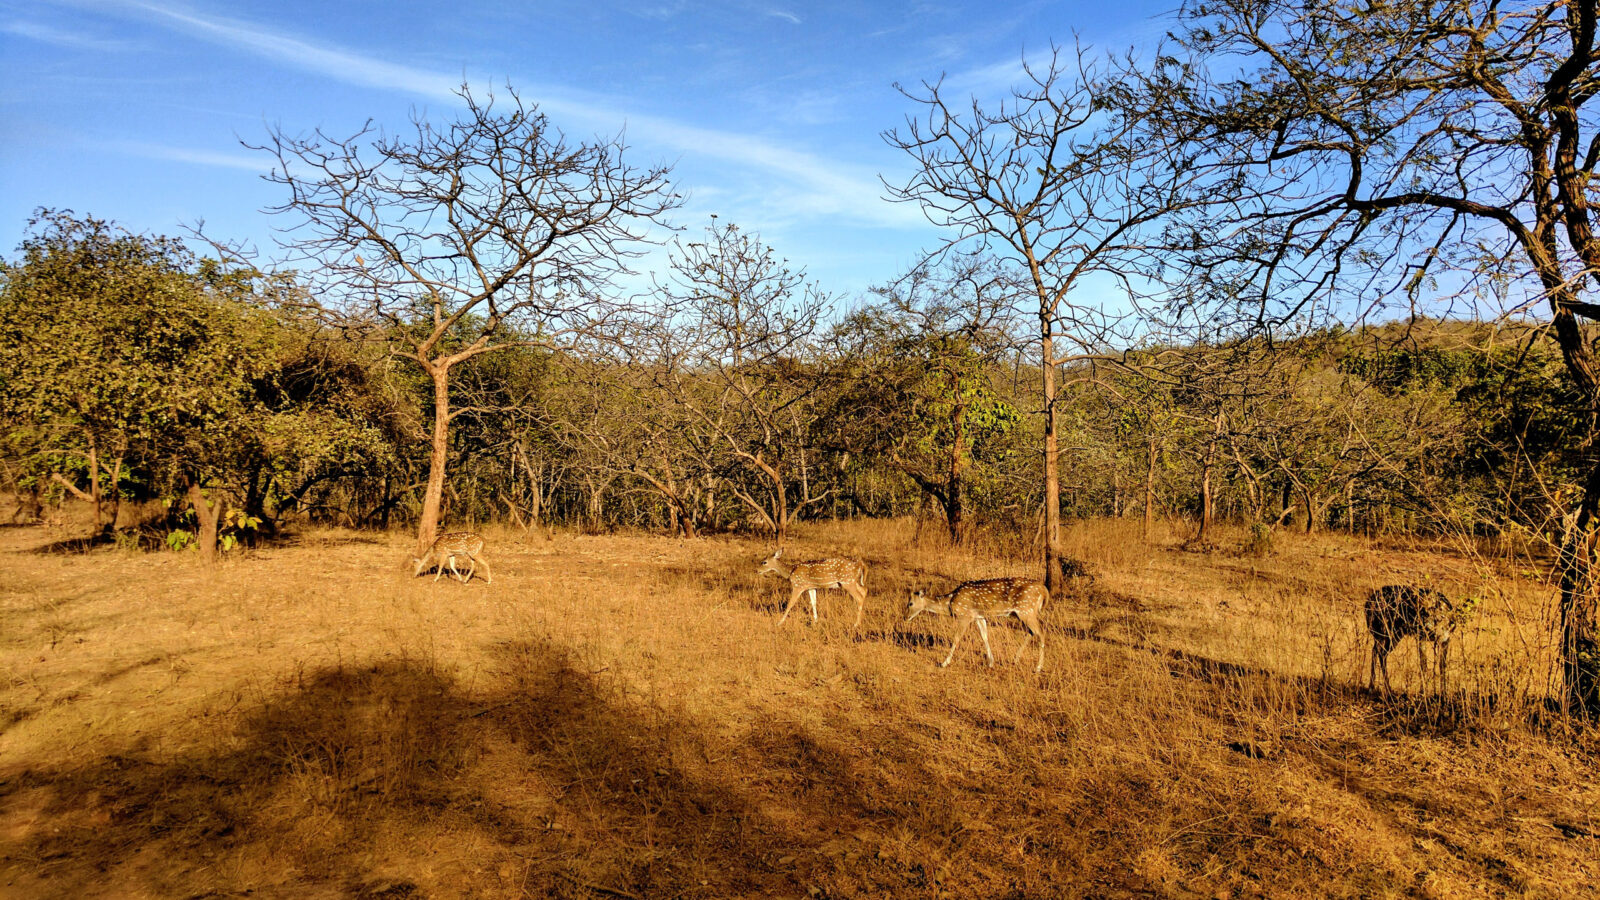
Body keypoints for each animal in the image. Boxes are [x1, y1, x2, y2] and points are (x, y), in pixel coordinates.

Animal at [905, 577, 1047, 672]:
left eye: (910, 603)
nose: (905, 617)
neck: (950, 603)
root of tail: (1044, 590)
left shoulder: (965, 615)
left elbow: (956, 638)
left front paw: (943, 663)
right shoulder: (979, 616)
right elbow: (985, 637)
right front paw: (991, 662)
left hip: (1026, 610)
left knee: (1040, 633)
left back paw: (1038, 667)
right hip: (1022, 613)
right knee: (1032, 632)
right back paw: (1015, 659)